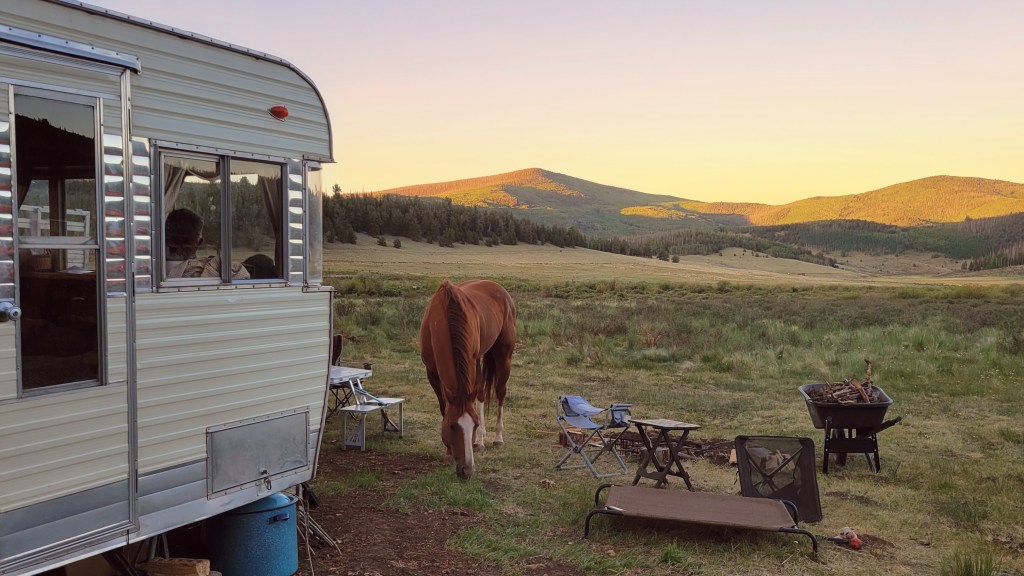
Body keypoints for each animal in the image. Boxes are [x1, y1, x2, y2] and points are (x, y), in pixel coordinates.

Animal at [419, 279, 516, 479]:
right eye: (452, 426)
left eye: (474, 424)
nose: (467, 469)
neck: (442, 318)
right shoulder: (431, 372)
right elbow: (444, 408)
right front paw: (448, 453)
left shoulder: (471, 362)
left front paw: (478, 438)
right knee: (481, 394)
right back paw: (480, 441)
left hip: (503, 355)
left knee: (500, 393)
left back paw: (496, 438)